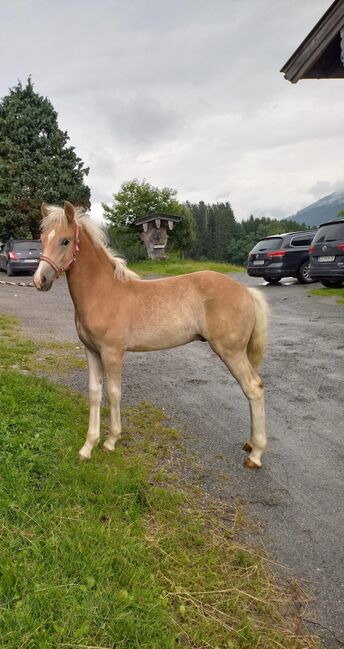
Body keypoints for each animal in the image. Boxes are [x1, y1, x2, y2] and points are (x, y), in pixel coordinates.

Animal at [33, 200, 268, 468]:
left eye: (65, 240)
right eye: (42, 238)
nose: (40, 280)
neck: (102, 292)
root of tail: (246, 291)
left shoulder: (112, 353)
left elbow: (113, 393)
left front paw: (111, 441)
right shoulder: (91, 351)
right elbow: (94, 394)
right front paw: (87, 447)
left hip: (231, 351)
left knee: (253, 388)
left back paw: (255, 454)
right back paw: (250, 444)